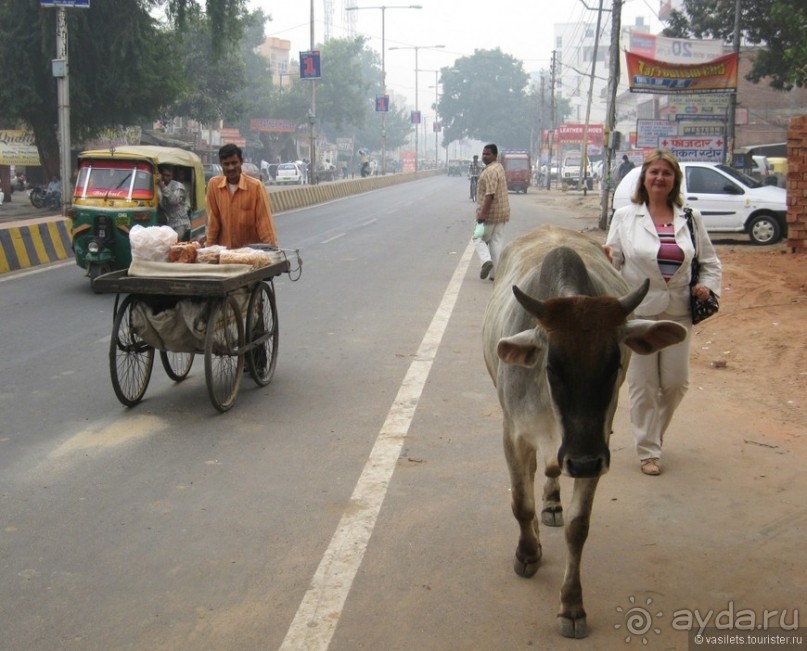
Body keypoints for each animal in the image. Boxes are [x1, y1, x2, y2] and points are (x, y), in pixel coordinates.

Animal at [482, 227, 684, 640]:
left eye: (615, 364)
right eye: (552, 367)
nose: (584, 460)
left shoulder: (595, 444)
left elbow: (578, 527)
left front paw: (572, 606)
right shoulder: (514, 435)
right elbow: (520, 503)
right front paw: (528, 553)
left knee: (551, 473)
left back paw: (552, 505)